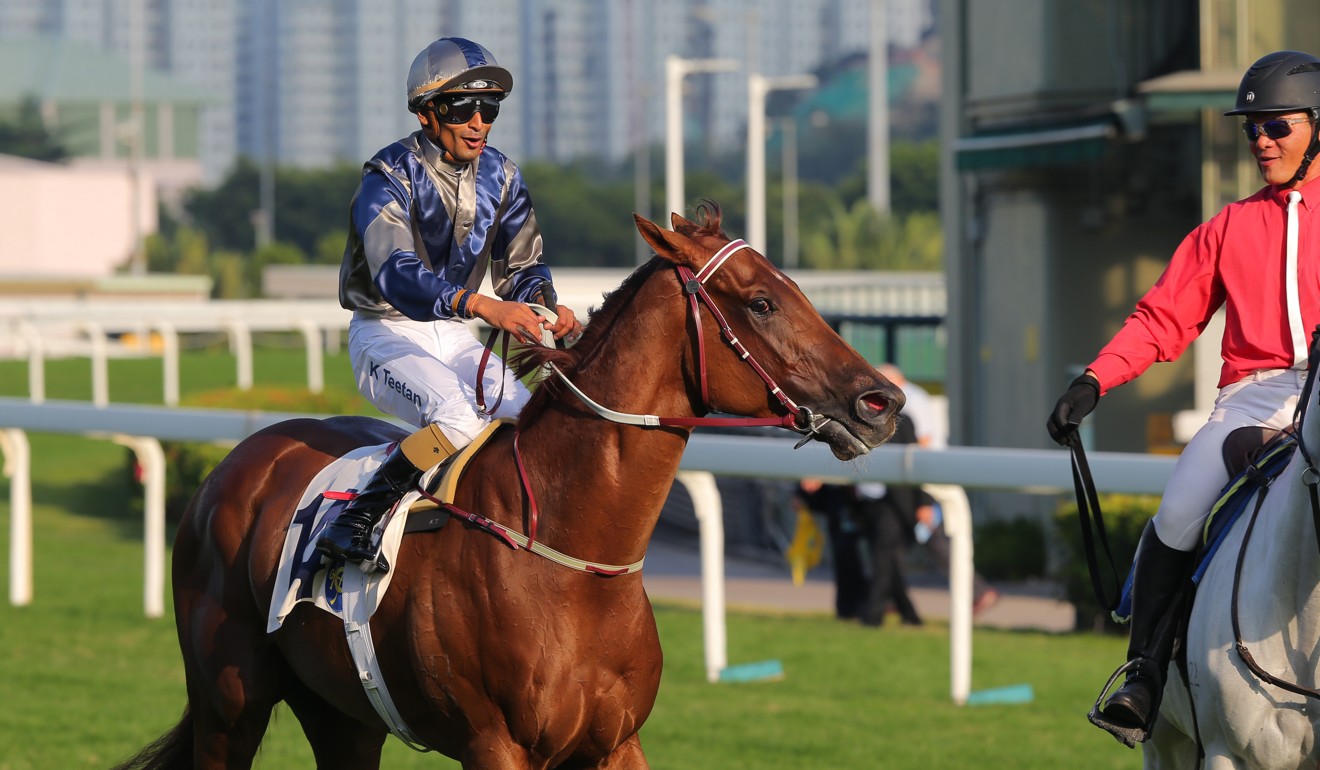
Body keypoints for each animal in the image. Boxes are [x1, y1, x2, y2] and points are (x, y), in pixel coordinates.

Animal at [113, 202, 902, 766]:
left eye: (795, 289)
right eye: (761, 302)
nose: (883, 401)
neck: (572, 557)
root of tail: (236, 463)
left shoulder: (615, 742)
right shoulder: (496, 746)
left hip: (341, 713)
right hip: (229, 701)